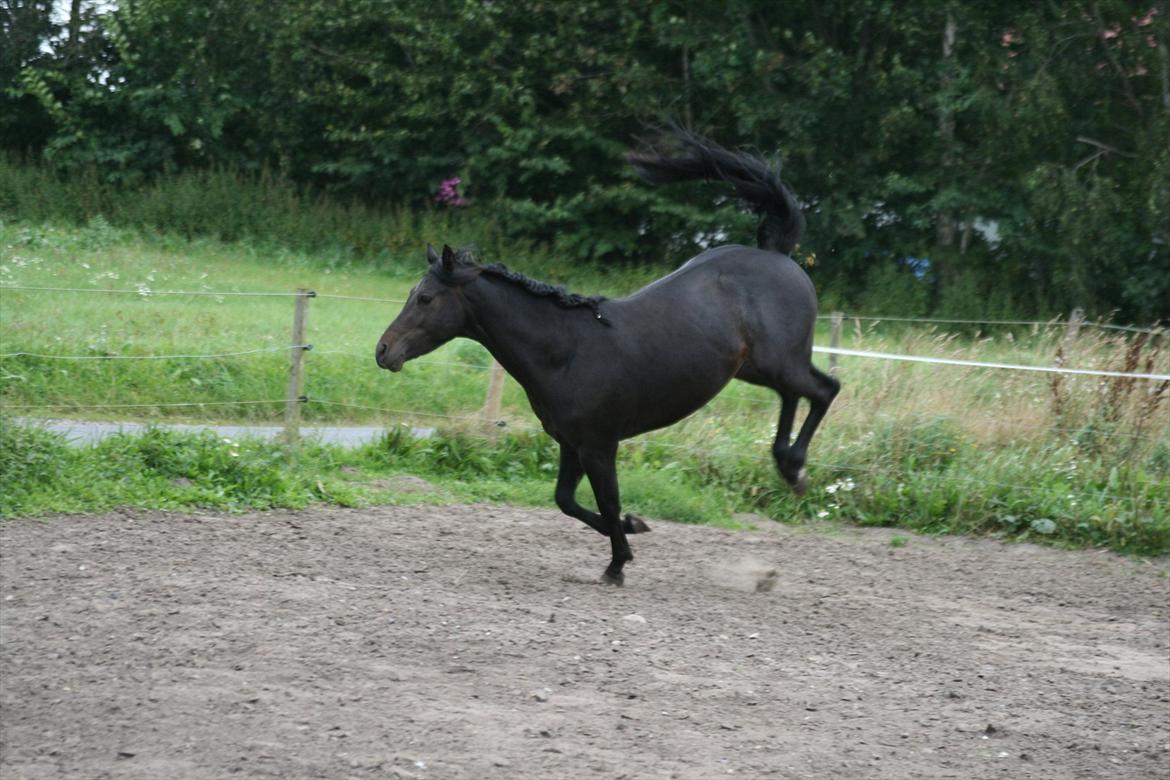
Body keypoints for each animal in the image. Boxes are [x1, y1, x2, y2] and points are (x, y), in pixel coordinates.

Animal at [376, 130, 842, 584]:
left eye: (425, 298)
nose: (383, 351)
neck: (565, 352)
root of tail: (778, 254)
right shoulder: (570, 443)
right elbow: (566, 500)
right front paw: (634, 532)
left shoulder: (600, 445)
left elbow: (608, 500)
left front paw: (617, 565)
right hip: (754, 369)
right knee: (795, 395)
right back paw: (788, 468)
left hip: (778, 362)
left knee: (824, 389)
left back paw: (795, 469)